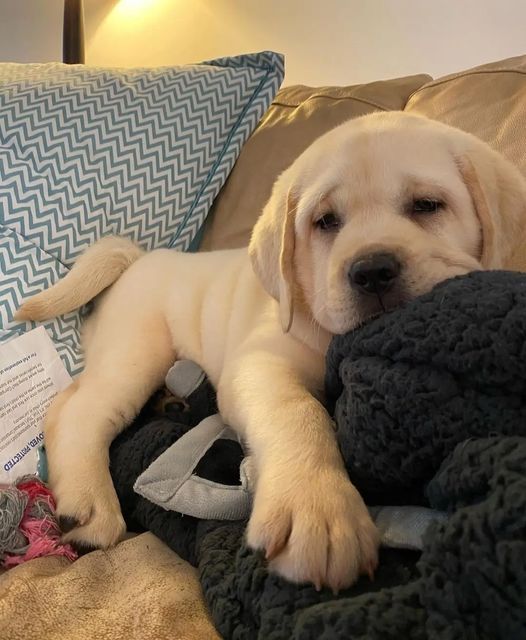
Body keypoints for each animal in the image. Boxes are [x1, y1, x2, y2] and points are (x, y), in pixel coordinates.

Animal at [15, 110, 526, 592]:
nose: (371, 271)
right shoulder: (259, 362)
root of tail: (139, 259)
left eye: (426, 206)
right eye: (326, 222)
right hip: (137, 351)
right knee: (77, 412)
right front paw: (317, 508)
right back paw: (88, 507)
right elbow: (296, 411)